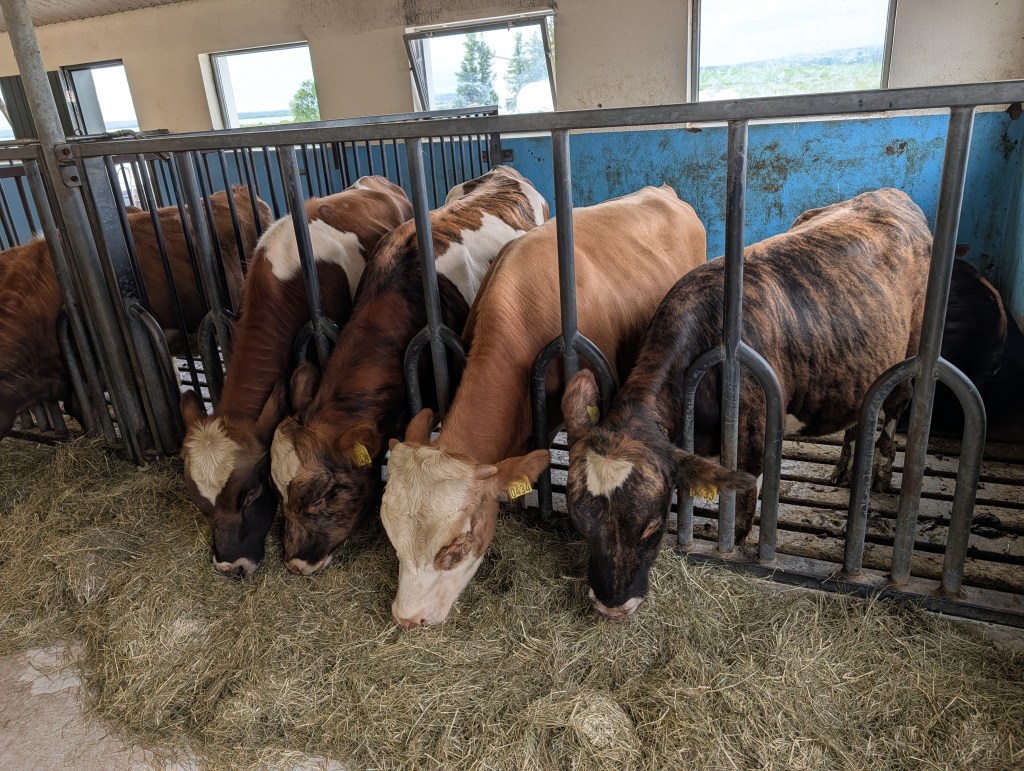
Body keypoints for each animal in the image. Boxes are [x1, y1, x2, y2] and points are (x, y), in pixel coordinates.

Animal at [561, 188, 932, 619]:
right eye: (580, 524)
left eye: (652, 524)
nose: (611, 607)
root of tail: (889, 194)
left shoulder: (749, 454)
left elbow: (738, 521)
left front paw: (731, 551)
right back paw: (843, 470)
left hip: (910, 353)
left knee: (894, 408)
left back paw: (881, 473)